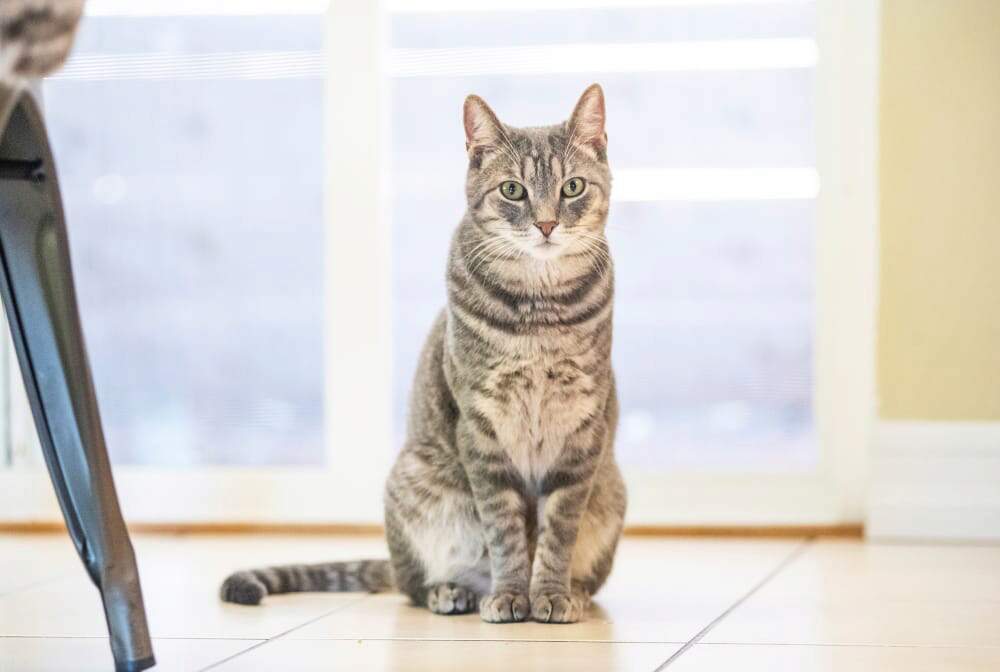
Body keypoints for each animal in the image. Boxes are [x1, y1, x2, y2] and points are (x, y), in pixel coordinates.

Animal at [225, 84, 624, 624]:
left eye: (573, 187)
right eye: (513, 191)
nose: (545, 224)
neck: (538, 311)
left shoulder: (582, 430)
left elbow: (558, 531)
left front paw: (552, 593)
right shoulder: (480, 427)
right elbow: (504, 530)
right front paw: (511, 594)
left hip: (612, 491)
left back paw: (575, 590)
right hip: (413, 483)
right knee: (413, 585)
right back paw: (454, 591)